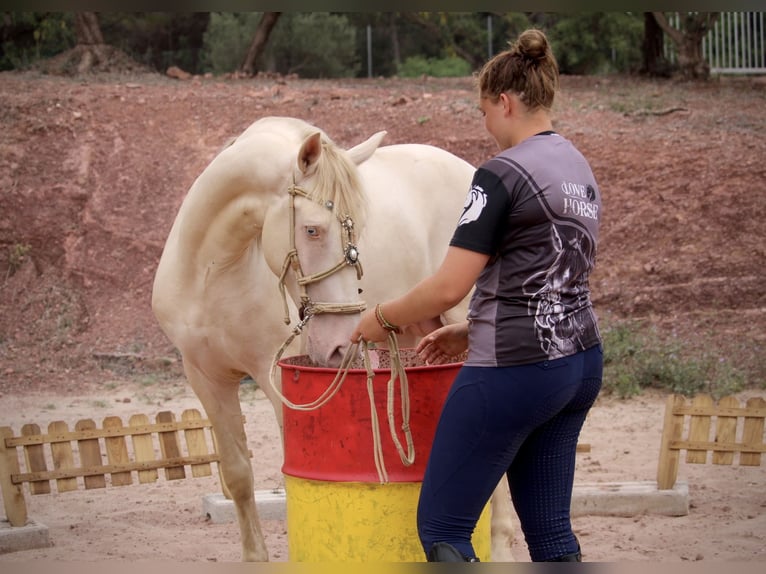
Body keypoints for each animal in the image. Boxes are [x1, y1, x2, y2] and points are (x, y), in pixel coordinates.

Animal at [152, 116, 516, 564]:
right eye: (312, 230)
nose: (342, 344)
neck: (215, 272)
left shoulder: (279, 381)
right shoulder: (206, 378)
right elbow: (237, 475)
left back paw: (500, 548)